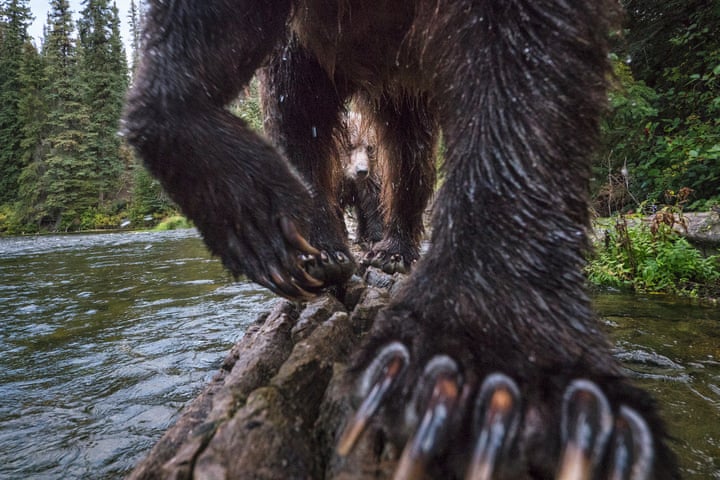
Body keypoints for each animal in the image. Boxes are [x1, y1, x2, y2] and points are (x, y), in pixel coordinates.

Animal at [124, 1, 680, 478]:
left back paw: (392, 251)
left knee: (408, 154)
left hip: (405, 80)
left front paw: (490, 377)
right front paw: (265, 221)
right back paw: (317, 249)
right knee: (299, 106)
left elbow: (525, 67)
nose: (358, 167)